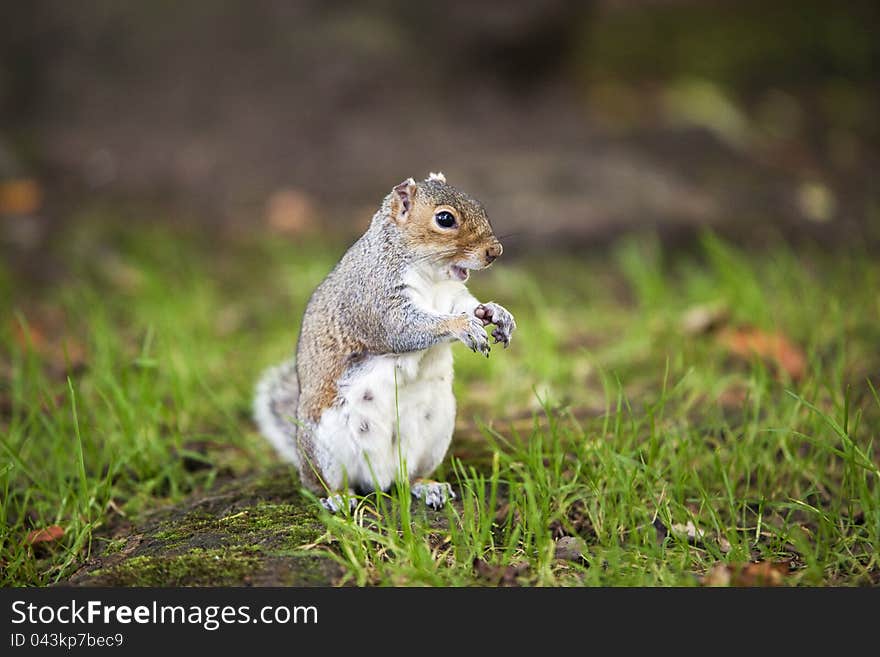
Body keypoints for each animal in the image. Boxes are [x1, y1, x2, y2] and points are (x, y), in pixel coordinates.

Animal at [253, 172, 516, 510]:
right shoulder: (374, 297)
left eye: (479, 205)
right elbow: (401, 329)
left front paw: (496, 313)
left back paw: (428, 487)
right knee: (321, 484)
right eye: (445, 219)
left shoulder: (452, 295)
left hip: (436, 433)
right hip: (324, 445)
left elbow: (470, 306)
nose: (495, 251)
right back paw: (339, 498)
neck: (430, 273)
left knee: (411, 477)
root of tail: (380, 480)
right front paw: (460, 325)